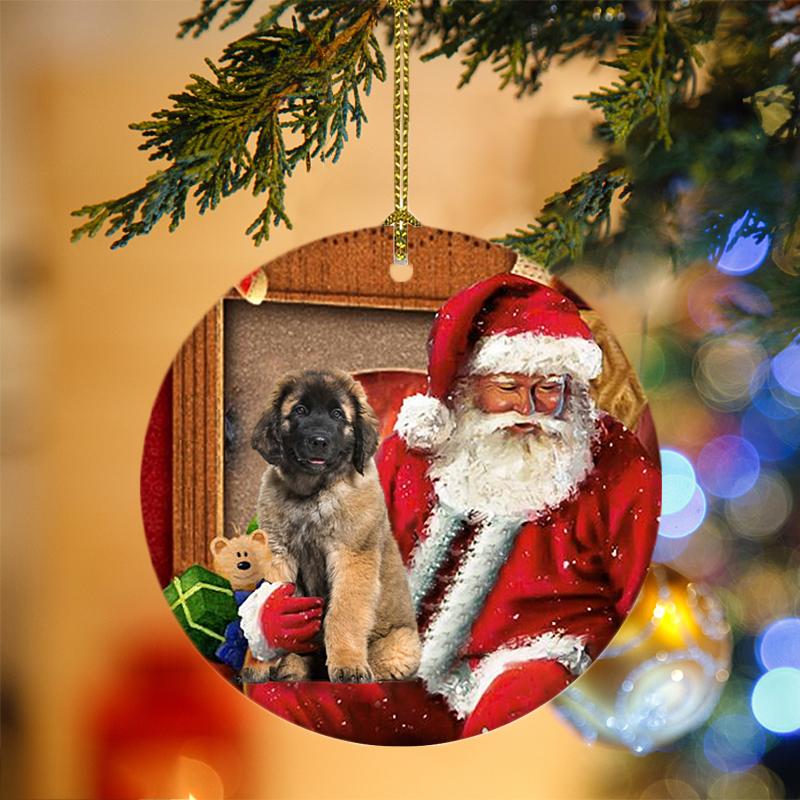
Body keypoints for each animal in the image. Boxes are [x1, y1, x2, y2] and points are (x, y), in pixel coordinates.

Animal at [247, 372, 422, 684]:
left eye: (338, 415)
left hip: (402, 644)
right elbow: (268, 604)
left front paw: (348, 665)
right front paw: (260, 662)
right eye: (300, 411)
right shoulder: (279, 555)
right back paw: (291, 668)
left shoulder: (352, 556)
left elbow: (343, 614)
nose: (319, 441)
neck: (311, 493)